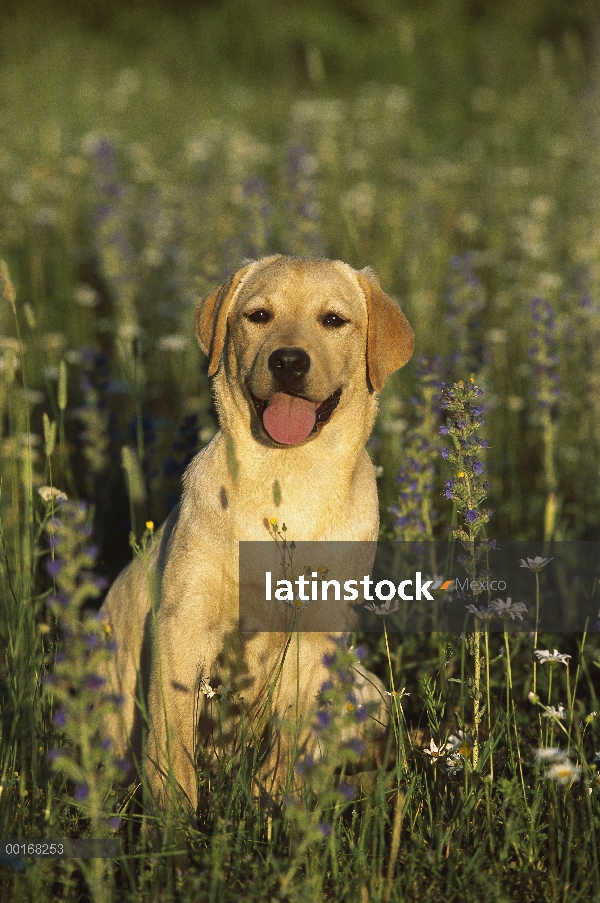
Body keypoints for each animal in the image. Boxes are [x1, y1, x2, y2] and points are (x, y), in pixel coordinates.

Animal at [102, 256, 412, 812]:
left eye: (333, 320)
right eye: (259, 315)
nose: (288, 361)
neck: (286, 481)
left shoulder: (317, 640)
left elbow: (290, 743)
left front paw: (276, 808)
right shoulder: (183, 626)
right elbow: (171, 740)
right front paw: (174, 819)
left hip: (367, 685)